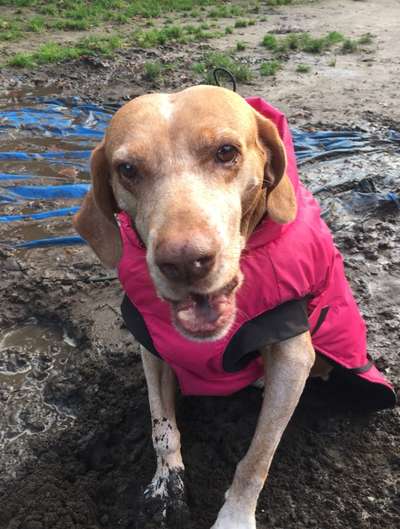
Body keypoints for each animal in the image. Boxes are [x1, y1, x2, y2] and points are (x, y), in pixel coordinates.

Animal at [73, 84, 396, 524]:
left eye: (226, 151)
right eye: (127, 169)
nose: (184, 261)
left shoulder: (293, 355)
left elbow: (257, 457)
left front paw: (235, 518)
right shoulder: (151, 348)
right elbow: (161, 429)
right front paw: (165, 488)